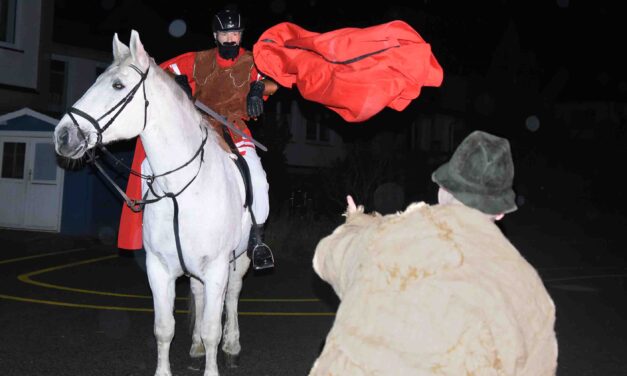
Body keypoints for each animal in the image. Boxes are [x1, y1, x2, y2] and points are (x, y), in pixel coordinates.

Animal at [52, 30, 251, 376]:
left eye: (118, 85)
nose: (63, 135)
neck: (180, 192)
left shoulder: (216, 267)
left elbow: (213, 326)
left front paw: (216, 356)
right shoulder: (159, 268)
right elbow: (164, 328)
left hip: (238, 260)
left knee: (233, 294)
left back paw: (232, 345)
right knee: (198, 294)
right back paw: (196, 346)